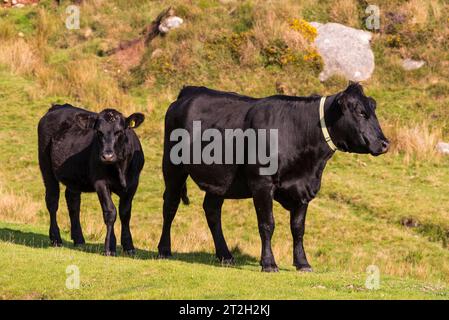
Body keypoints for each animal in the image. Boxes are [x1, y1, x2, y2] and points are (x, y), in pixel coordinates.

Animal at [38, 104, 144, 255]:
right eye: (99, 132)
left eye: (119, 131)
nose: (107, 156)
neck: (120, 167)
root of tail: (58, 107)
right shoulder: (101, 182)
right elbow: (110, 211)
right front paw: (109, 247)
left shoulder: (133, 183)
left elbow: (125, 213)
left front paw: (129, 246)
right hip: (46, 166)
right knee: (52, 200)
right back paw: (56, 238)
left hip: (74, 176)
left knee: (73, 202)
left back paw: (78, 239)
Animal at [158, 83, 388, 272]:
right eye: (361, 113)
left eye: (373, 109)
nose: (385, 143)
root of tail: (190, 92)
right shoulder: (262, 184)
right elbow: (267, 224)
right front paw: (269, 263)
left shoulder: (305, 187)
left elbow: (298, 228)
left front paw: (302, 263)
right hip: (172, 166)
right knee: (170, 205)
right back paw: (164, 250)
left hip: (219, 180)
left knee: (212, 211)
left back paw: (225, 256)